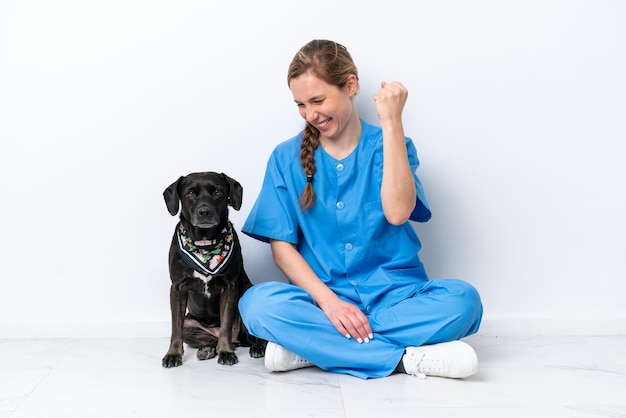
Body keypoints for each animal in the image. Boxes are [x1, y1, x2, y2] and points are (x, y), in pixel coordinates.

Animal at [160, 171, 264, 368]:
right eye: (190, 193)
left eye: (217, 192)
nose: (204, 212)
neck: (204, 244)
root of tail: (239, 340)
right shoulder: (177, 288)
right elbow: (175, 328)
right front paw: (173, 354)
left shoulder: (229, 287)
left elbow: (225, 326)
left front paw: (226, 352)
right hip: (190, 324)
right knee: (208, 339)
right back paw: (208, 349)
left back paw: (256, 347)